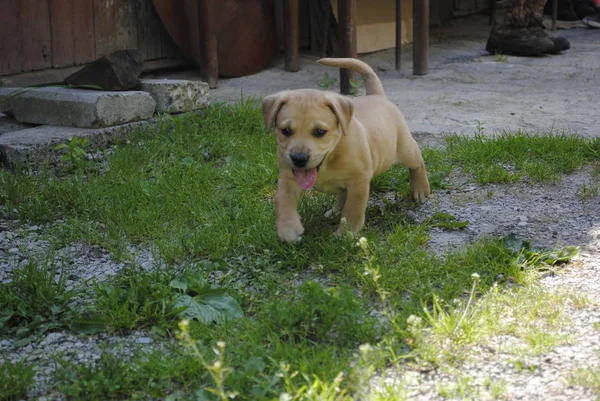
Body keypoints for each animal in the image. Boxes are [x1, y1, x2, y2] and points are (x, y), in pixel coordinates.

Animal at [264, 57, 432, 242]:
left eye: (320, 132)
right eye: (285, 130)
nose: (299, 159)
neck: (330, 159)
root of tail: (377, 95)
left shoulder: (359, 181)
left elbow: (353, 209)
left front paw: (346, 234)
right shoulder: (288, 175)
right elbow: (282, 199)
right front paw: (288, 229)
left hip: (405, 148)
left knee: (418, 162)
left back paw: (420, 189)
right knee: (342, 195)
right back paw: (334, 211)